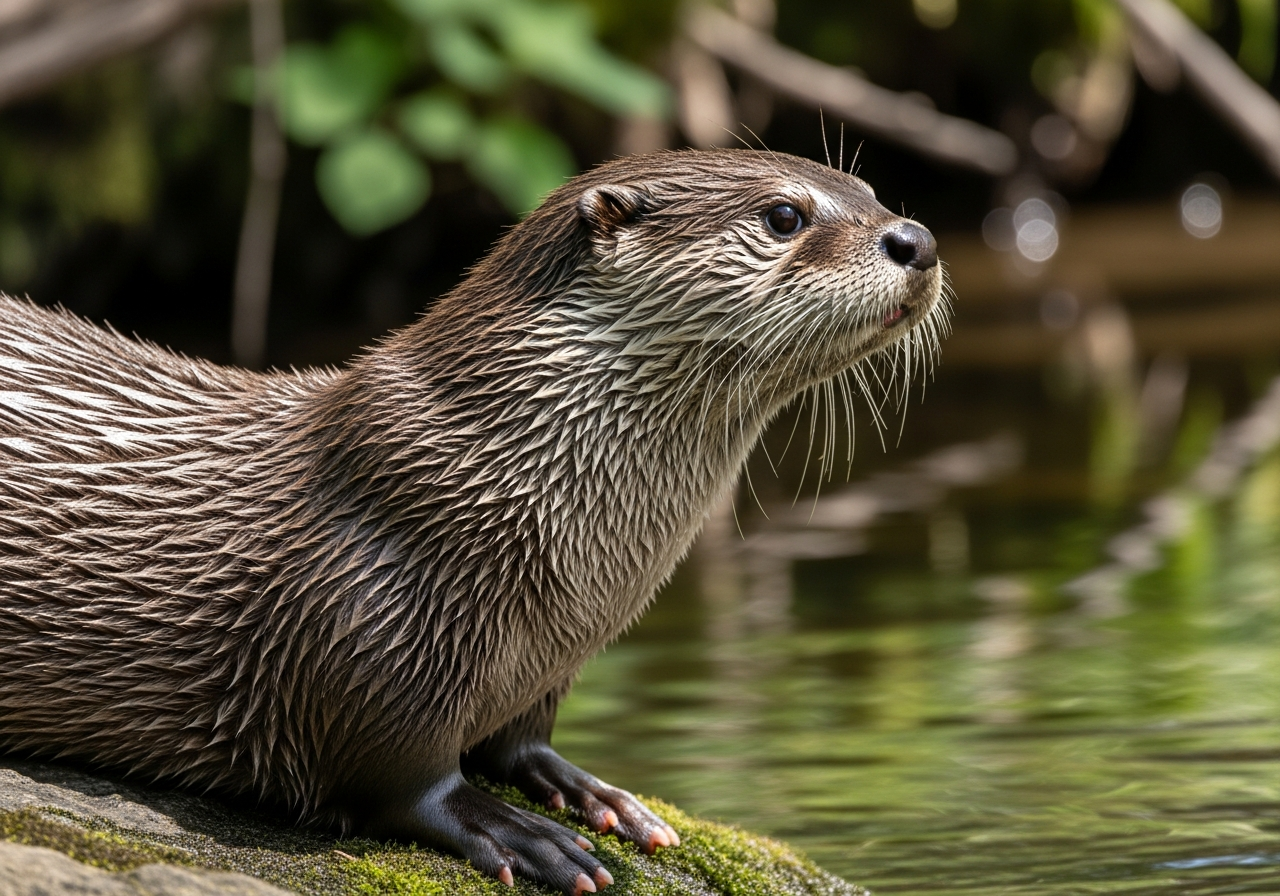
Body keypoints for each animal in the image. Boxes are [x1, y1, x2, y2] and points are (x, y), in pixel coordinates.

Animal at [0, 150, 944, 894]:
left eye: (869, 190)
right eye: (785, 215)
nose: (918, 240)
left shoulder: (548, 660)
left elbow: (519, 740)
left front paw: (592, 792)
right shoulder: (366, 619)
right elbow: (399, 781)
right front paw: (516, 831)